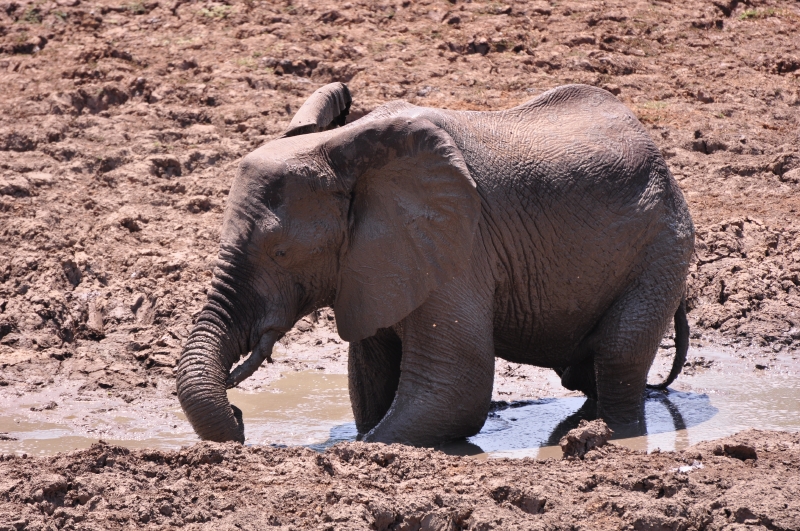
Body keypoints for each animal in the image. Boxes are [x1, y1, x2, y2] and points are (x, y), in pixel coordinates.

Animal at [176, 82, 694, 447]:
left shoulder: (459, 246)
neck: (341, 150)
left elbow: (454, 389)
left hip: (664, 245)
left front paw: (358, 448)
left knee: (619, 354)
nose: (241, 419)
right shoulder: (373, 263)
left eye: (281, 253)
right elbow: (371, 381)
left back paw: (603, 434)